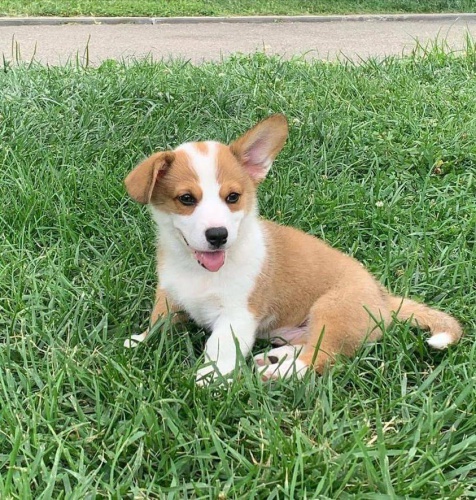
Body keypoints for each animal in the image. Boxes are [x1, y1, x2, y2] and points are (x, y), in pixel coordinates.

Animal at [122, 115, 462, 384]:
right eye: (186, 199)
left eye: (233, 197)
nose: (218, 235)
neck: (197, 270)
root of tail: (384, 299)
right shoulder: (170, 295)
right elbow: (157, 323)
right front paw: (139, 342)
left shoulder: (237, 315)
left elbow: (221, 349)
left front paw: (211, 380)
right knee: (309, 344)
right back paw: (274, 359)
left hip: (331, 310)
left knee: (321, 357)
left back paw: (280, 371)